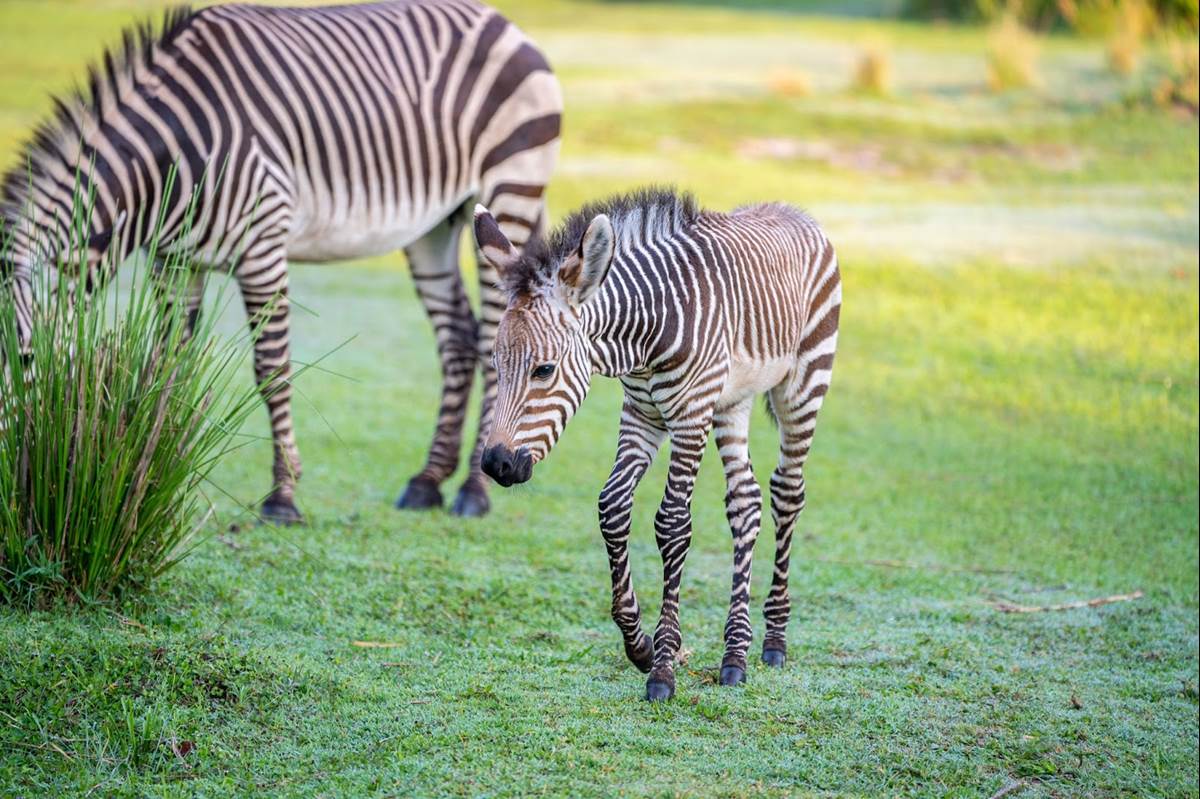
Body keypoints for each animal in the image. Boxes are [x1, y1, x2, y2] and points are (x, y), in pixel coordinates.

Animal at [0, 1, 561, 523]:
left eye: (26, 358)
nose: (12, 475)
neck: (169, 164)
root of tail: (500, 21)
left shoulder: (261, 246)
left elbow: (272, 370)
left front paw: (282, 496)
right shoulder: (173, 262)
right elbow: (166, 366)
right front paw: (148, 477)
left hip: (509, 191)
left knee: (493, 341)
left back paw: (473, 491)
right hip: (434, 224)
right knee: (458, 339)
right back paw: (426, 482)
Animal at [472, 188, 841, 701]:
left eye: (543, 370)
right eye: (495, 364)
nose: (496, 464)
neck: (645, 332)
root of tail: (791, 210)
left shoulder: (688, 417)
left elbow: (672, 525)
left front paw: (663, 668)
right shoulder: (641, 414)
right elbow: (611, 506)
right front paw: (640, 646)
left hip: (804, 383)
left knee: (787, 493)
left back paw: (774, 642)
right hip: (732, 401)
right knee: (745, 502)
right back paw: (735, 655)